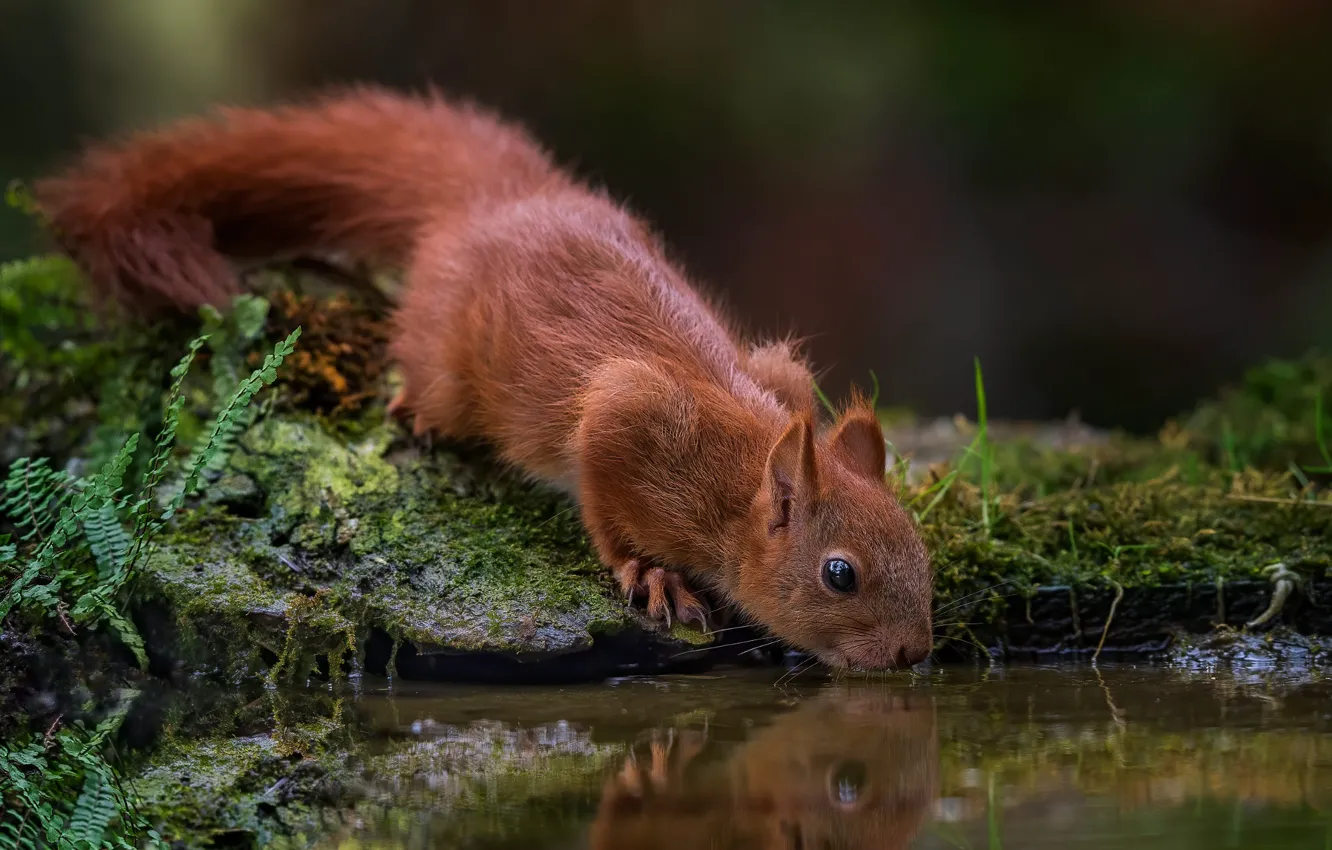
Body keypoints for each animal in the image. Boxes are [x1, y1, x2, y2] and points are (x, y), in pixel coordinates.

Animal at [25, 86, 932, 671]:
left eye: (922, 548)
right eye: (840, 574)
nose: (914, 654)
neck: (738, 471)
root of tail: (494, 198)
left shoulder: (779, 376)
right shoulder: (629, 418)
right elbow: (604, 499)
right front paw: (652, 575)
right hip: (446, 353)